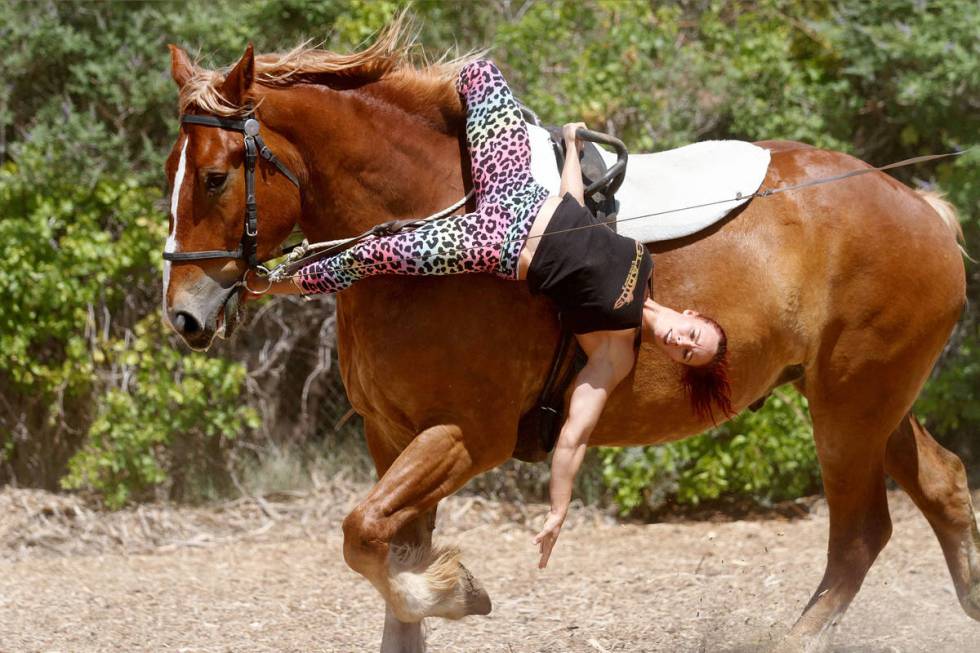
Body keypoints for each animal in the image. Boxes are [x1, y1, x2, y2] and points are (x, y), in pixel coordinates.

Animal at [161, 26, 972, 652]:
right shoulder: (390, 438)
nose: (183, 316)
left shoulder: (466, 435)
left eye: (213, 177)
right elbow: (386, 557)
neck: (436, 211)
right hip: (867, 401)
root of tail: (920, 206)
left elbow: (365, 535)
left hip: (848, 409)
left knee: (860, 534)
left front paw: (458, 590)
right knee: (943, 486)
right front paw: (437, 588)